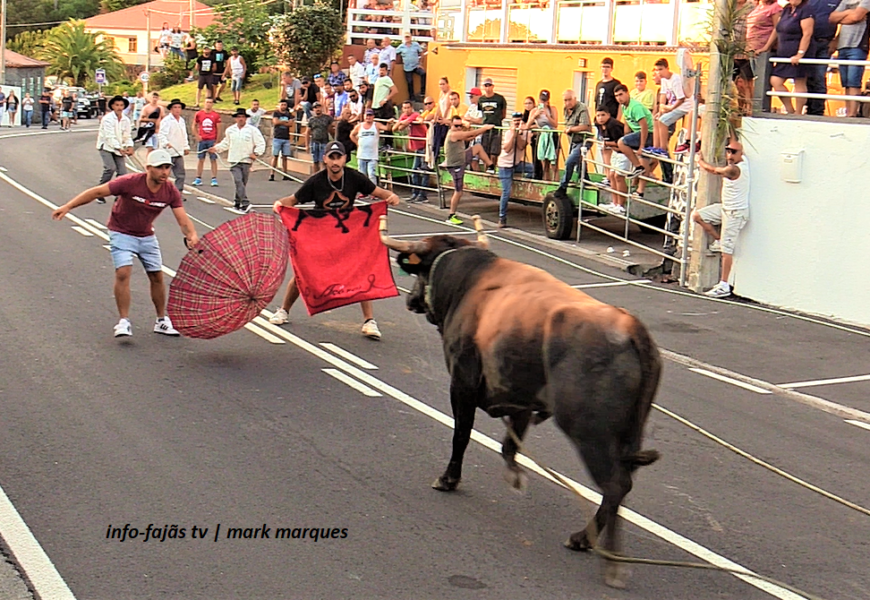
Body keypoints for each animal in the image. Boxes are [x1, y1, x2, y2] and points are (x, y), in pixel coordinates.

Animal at [382, 218, 660, 588]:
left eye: (420, 272)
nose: (411, 298)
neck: (467, 282)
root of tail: (631, 328)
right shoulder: (521, 401)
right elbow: (509, 446)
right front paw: (515, 476)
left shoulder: (462, 383)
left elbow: (461, 435)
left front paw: (449, 479)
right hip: (629, 432)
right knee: (622, 486)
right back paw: (588, 541)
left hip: (589, 432)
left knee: (616, 484)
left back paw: (602, 555)